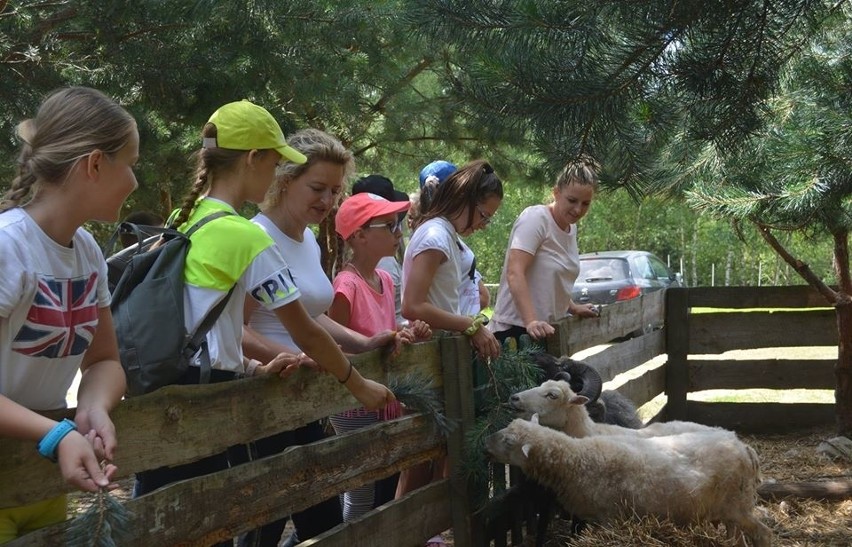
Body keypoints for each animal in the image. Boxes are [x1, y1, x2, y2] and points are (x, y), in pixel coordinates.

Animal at [486, 418, 772, 544]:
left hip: (739, 505)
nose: (485, 444)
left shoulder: (610, 518)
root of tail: (744, 447)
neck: (577, 459)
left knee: (764, 533)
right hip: (728, 510)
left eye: (509, 442)